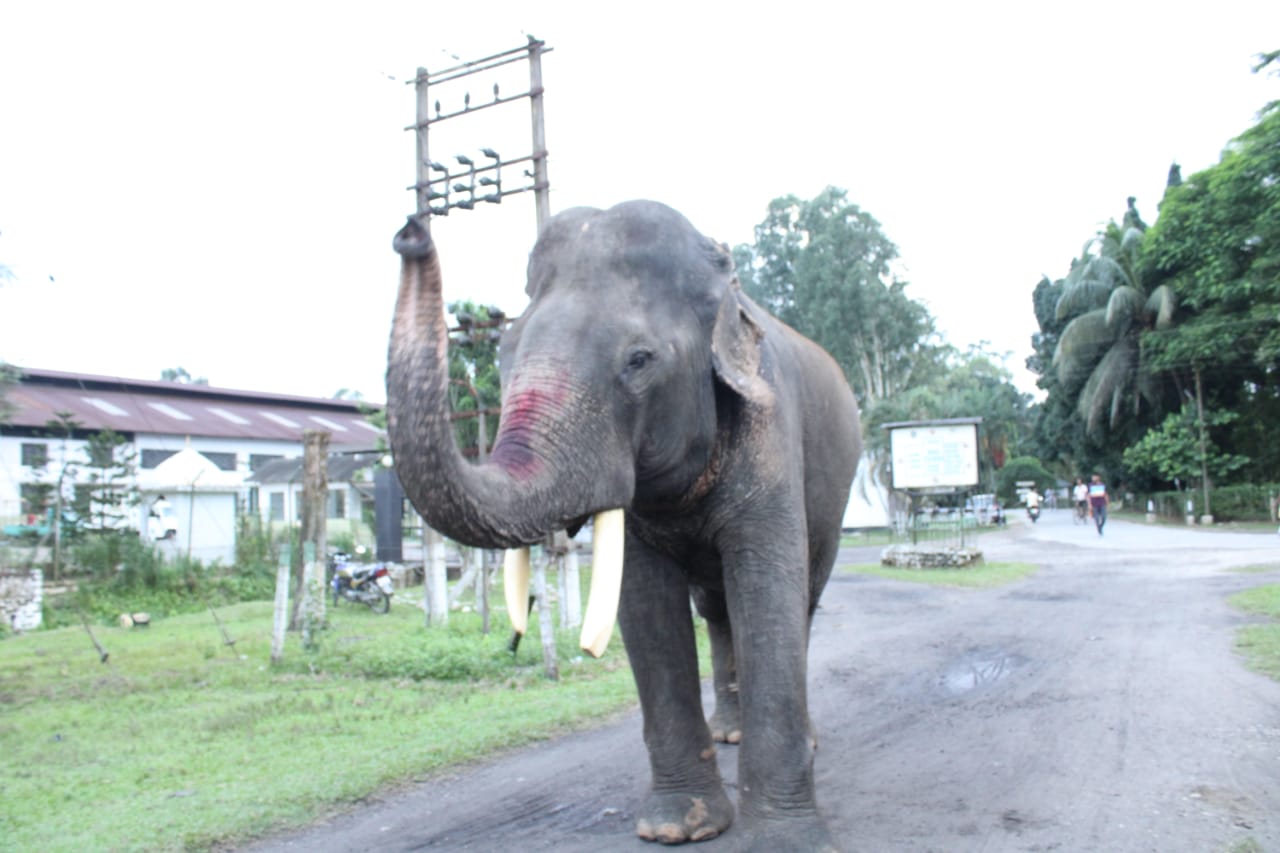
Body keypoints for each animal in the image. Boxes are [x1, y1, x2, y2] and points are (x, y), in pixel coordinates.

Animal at [389, 197, 860, 845]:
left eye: (639, 361)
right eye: (504, 356)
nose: (411, 233)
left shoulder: (771, 429)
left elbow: (768, 590)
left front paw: (783, 844)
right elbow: (643, 603)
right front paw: (678, 830)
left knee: (801, 599)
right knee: (716, 609)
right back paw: (728, 733)